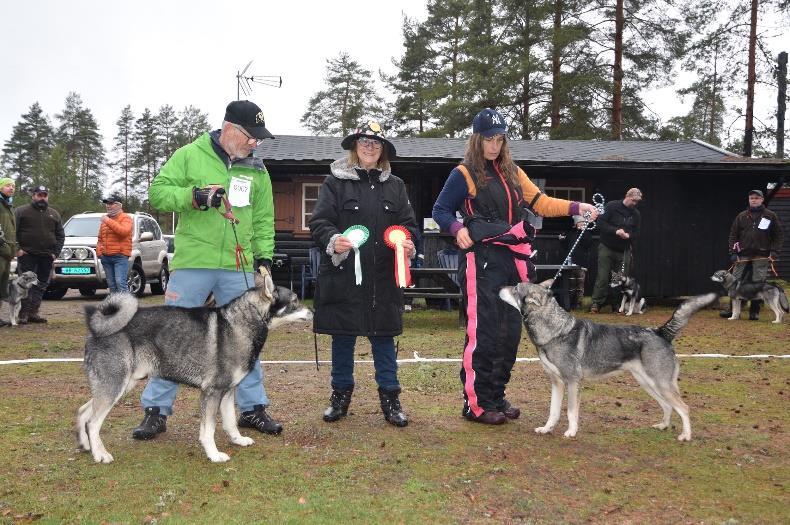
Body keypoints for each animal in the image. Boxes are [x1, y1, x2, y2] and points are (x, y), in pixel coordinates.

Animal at [76, 270, 312, 462]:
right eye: (295, 300)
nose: (312, 312)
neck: (241, 324)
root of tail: (95, 331)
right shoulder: (212, 392)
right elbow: (208, 429)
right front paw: (214, 454)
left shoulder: (227, 392)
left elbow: (230, 423)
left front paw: (238, 440)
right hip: (115, 385)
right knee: (93, 422)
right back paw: (100, 455)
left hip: (120, 385)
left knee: (83, 412)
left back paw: (87, 446)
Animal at [504, 280, 720, 440]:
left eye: (515, 288)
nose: (500, 287)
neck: (555, 330)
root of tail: (660, 332)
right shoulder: (556, 383)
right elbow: (553, 411)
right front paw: (546, 429)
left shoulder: (572, 382)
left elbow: (571, 411)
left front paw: (571, 432)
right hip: (649, 384)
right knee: (667, 406)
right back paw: (663, 426)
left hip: (661, 384)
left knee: (683, 408)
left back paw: (686, 435)